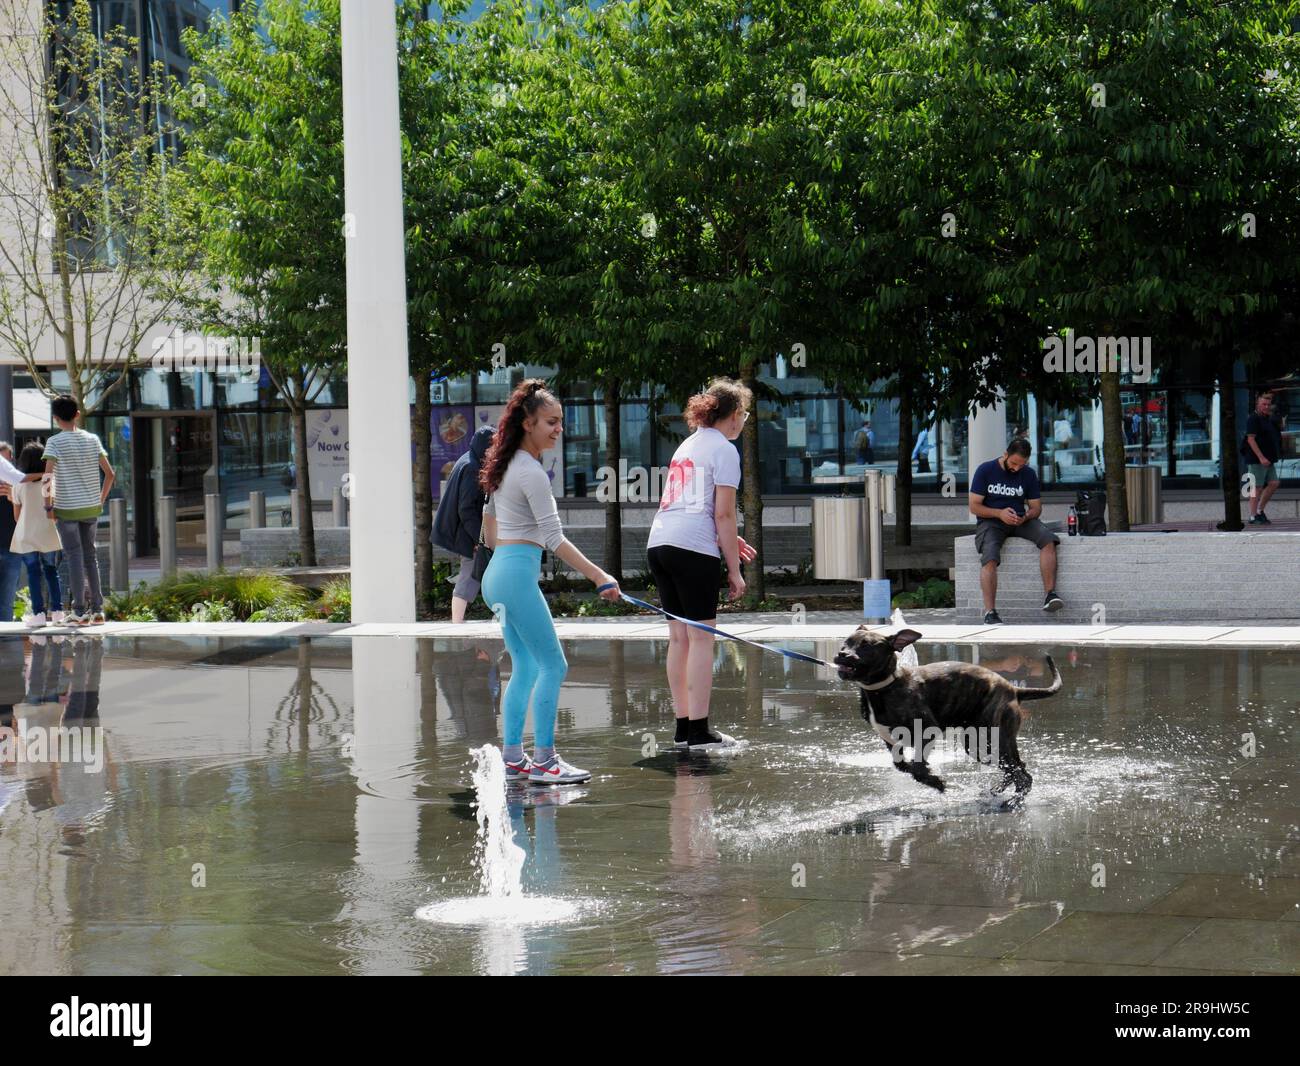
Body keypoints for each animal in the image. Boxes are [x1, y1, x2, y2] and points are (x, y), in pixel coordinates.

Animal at [837, 629, 1060, 795]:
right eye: (845, 642)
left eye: (866, 645)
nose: (841, 654)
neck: (884, 687)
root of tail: (1013, 690)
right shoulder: (889, 740)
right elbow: (902, 765)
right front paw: (930, 777)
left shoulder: (926, 730)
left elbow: (917, 768)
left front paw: (936, 783)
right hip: (981, 745)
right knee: (1017, 767)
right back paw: (999, 790)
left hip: (989, 740)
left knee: (1021, 774)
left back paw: (1015, 801)